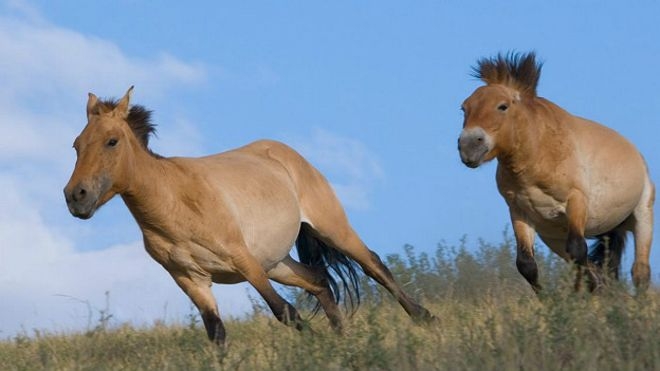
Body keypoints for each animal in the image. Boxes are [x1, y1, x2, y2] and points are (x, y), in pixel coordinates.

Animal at [63, 87, 434, 346]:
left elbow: (284, 311)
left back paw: (424, 318)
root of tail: (286, 153)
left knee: (374, 265)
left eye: (112, 141)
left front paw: (316, 348)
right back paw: (344, 338)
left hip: (329, 229)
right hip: (278, 263)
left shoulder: (244, 261)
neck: (175, 203)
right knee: (318, 281)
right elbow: (216, 333)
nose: (75, 196)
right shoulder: (191, 280)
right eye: (77, 145)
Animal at [458, 51, 656, 294]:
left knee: (640, 272)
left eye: (502, 106)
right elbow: (527, 264)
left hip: (642, 215)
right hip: (557, 238)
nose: (468, 146)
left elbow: (579, 250)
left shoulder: (576, 201)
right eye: (464, 108)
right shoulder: (519, 212)